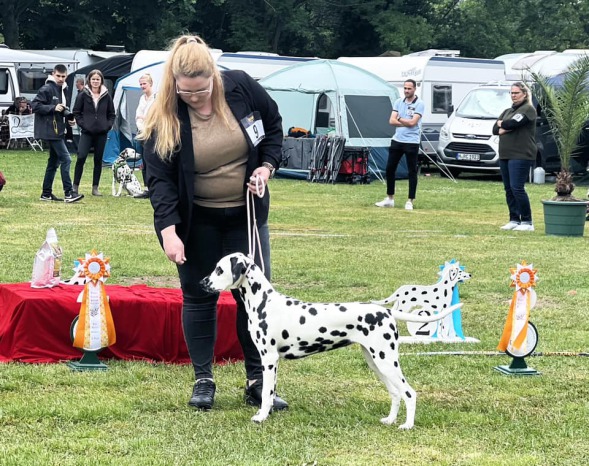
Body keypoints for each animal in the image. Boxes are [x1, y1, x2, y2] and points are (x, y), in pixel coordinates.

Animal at [201, 252, 463, 429]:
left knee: (409, 392)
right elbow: (269, 392)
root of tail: (387, 311)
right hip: (376, 363)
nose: (203, 282)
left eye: (219, 269)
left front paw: (261, 417)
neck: (264, 302)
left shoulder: (269, 359)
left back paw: (407, 425)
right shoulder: (271, 362)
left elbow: (266, 394)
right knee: (396, 393)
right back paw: (389, 419)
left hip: (387, 361)